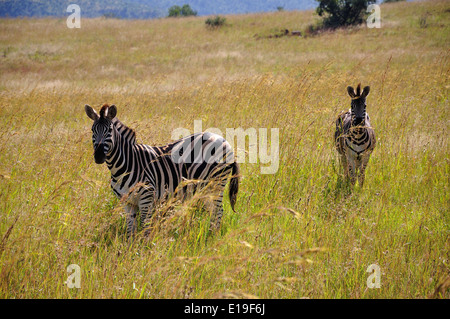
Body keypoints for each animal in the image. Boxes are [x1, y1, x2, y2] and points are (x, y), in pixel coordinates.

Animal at [84, 104, 239, 239]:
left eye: (109, 130)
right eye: (92, 130)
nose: (98, 156)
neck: (125, 165)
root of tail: (224, 140)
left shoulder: (146, 198)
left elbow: (145, 228)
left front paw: (144, 249)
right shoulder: (127, 202)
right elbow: (130, 230)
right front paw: (130, 248)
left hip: (216, 184)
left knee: (218, 211)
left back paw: (213, 236)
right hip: (205, 188)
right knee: (213, 211)